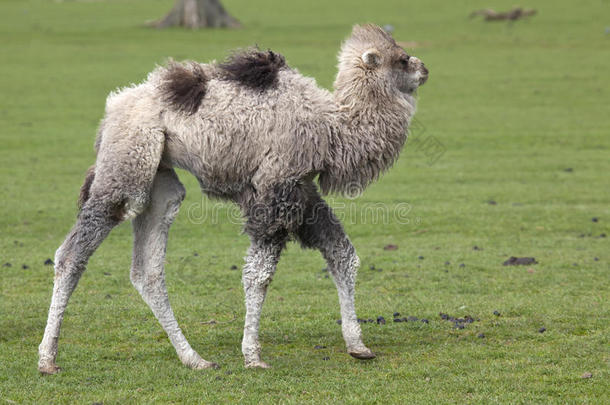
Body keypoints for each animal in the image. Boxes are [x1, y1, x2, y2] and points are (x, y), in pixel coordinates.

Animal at [38, 24, 428, 372]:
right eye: (401, 58)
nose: (424, 68)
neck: (333, 129)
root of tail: (112, 109)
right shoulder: (275, 186)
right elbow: (259, 275)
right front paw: (253, 356)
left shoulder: (302, 190)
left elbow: (343, 254)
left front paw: (358, 346)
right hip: (127, 163)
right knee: (73, 252)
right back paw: (47, 360)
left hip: (159, 178)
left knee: (147, 268)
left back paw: (194, 359)